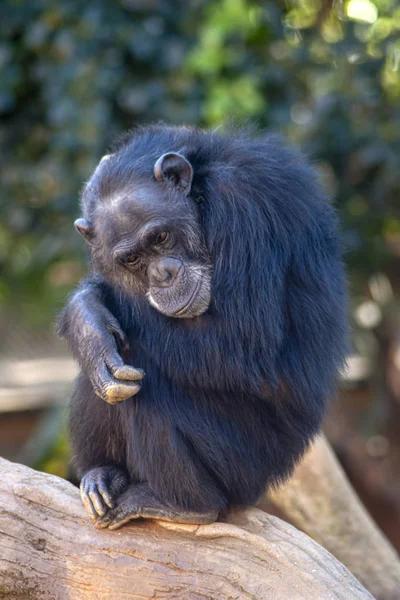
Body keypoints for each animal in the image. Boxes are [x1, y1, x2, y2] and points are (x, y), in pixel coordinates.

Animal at [58, 125, 346, 528]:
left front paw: (86, 313)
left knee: (146, 375)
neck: (201, 192)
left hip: (244, 464)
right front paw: (86, 322)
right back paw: (103, 474)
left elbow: (242, 342)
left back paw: (186, 504)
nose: (162, 274)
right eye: (131, 258)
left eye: (160, 237)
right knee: (105, 373)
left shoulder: (241, 207)